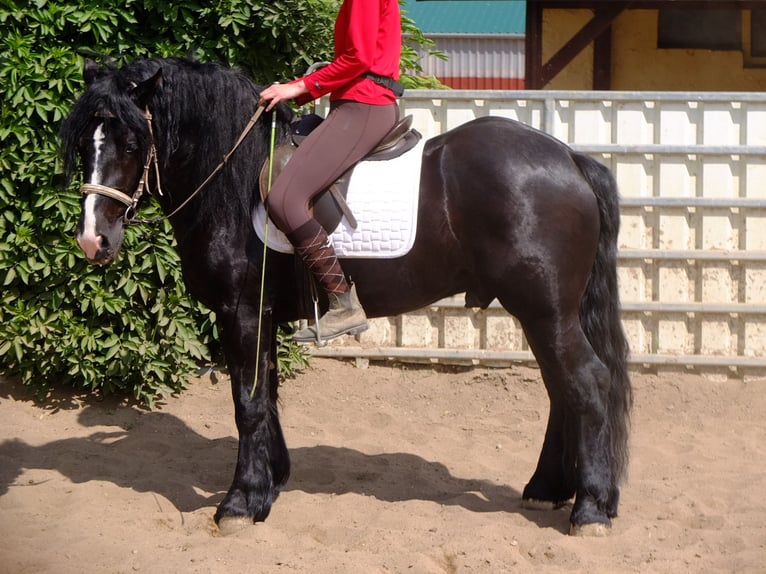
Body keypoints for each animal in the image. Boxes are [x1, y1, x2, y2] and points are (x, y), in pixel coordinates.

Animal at [61, 57, 636, 536]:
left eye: (132, 144)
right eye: (84, 143)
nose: (93, 240)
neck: (234, 177)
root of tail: (569, 157)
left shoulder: (240, 313)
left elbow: (247, 403)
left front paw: (240, 502)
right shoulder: (262, 315)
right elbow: (267, 395)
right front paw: (271, 482)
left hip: (545, 310)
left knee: (586, 382)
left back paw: (590, 509)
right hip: (544, 313)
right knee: (562, 389)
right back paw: (549, 489)